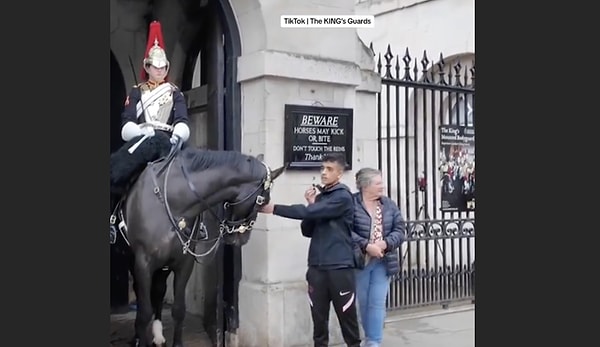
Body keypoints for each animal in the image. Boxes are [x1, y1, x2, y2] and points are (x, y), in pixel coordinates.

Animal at [112, 143, 286, 346]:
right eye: (263, 201)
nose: (240, 238)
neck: (175, 203)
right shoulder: (143, 263)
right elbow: (144, 312)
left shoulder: (183, 264)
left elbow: (178, 309)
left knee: (158, 291)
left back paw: (157, 335)